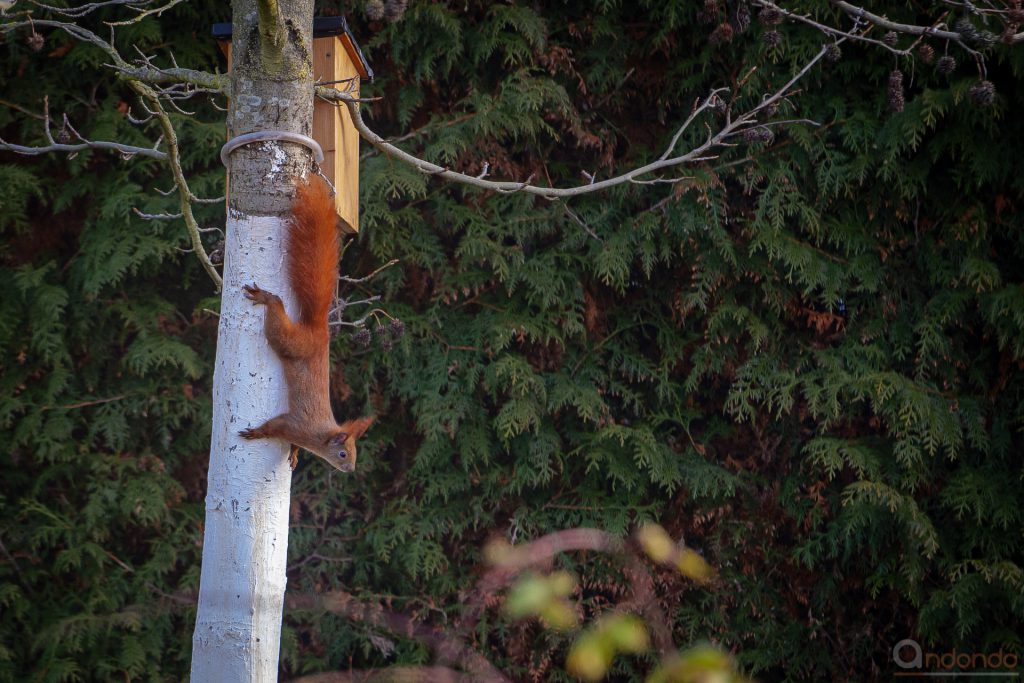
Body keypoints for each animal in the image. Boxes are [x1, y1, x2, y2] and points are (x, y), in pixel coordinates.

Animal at [237, 179, 374, 473]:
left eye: (354, 454)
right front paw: (257, 432)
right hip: (291, 341)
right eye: (343, 454)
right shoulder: (295, 426)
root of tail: (319, 328)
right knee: (278, 317)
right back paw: (267, 298)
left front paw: (295, 453)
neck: (320, 437)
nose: (351, 470)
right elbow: (274, 426)